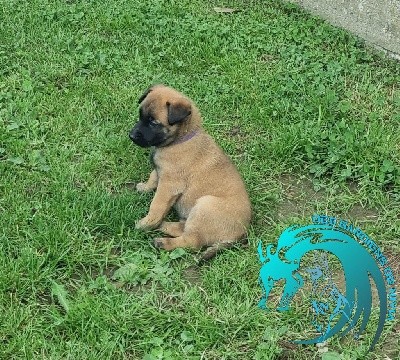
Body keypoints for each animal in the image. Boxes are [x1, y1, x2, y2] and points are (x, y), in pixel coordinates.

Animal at [130, 84, 252, 258]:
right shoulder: (161, 170)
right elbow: (153, 176)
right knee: (185, 229)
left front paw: (147, 223)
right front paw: (145, 188)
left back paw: (163, 241)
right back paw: (163, 225)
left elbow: (156, 205)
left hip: (204, 206)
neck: (180, 139)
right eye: (140, 115)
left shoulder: (169, 185)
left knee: (192, 242)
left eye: (153, 123)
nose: (131, 135)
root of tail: (241, 234)